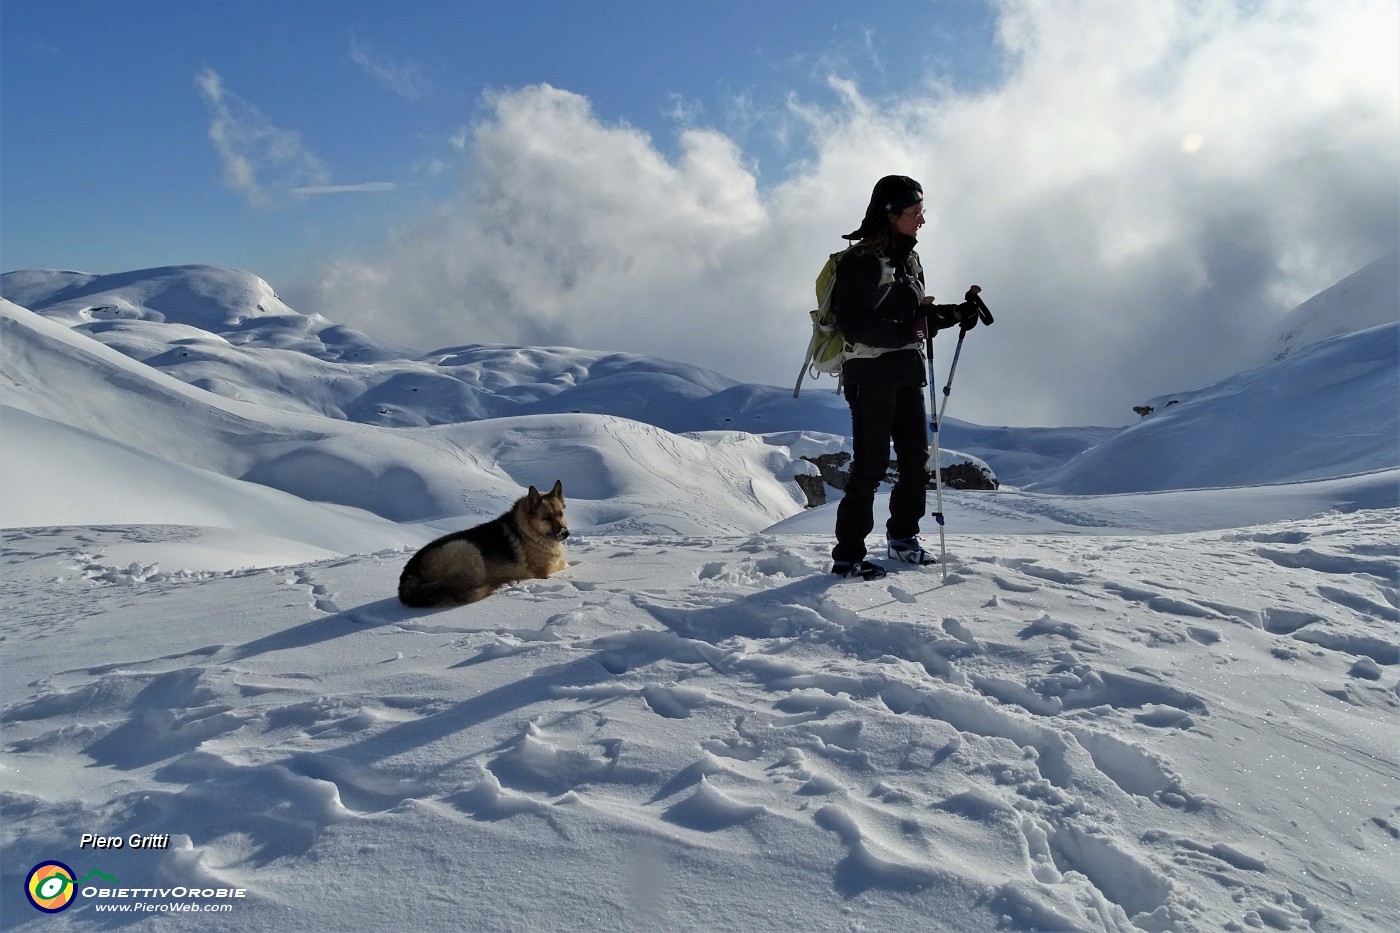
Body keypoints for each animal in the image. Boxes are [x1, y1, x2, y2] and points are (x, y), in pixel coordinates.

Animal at [397, 479, 565, 610]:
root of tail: (409, 572)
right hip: (468, 550)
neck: (528, 529)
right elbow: (565, 563)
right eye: (547, 518)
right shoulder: (545, 570)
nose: (566, 533)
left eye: (561, 514)